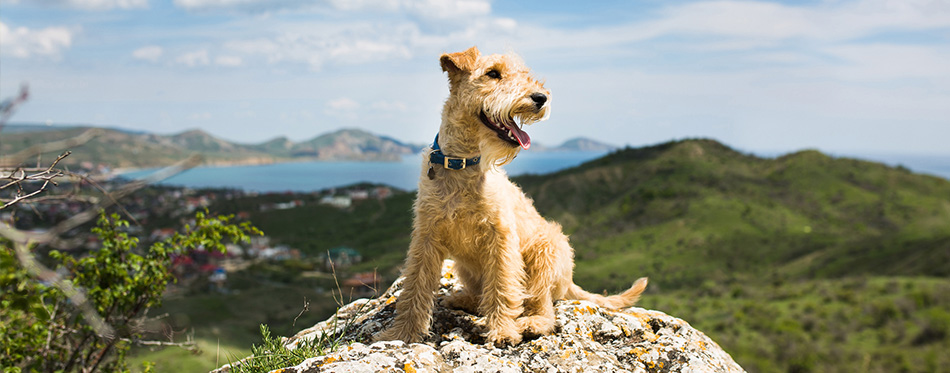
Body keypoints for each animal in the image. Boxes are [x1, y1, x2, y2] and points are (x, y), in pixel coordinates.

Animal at [376, 46, 652, 346]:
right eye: (492, 73)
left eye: (524, 73)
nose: (541, 97)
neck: (464, 164)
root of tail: (569, 281)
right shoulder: (426, 237)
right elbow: (414, 288)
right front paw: (402, 333)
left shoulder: (501, 238)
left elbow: (502, 286)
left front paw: (503, 331)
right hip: (467, 268)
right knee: (483, 295)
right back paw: (462, 299)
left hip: (546, 253)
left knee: (543, 306)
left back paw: (531, 323)